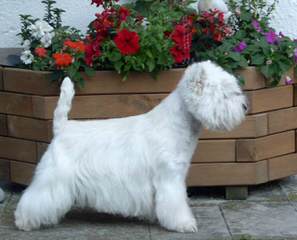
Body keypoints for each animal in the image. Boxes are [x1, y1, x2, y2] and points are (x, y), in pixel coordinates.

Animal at [13, 61, 246, 232]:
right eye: (225, 93)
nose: (245, 106)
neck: (178, 124)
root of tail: (61, 127)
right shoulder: (170, 178)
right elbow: (175, 203)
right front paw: (184, 224)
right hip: (53, 176)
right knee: (35, 197)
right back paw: (24, 222)